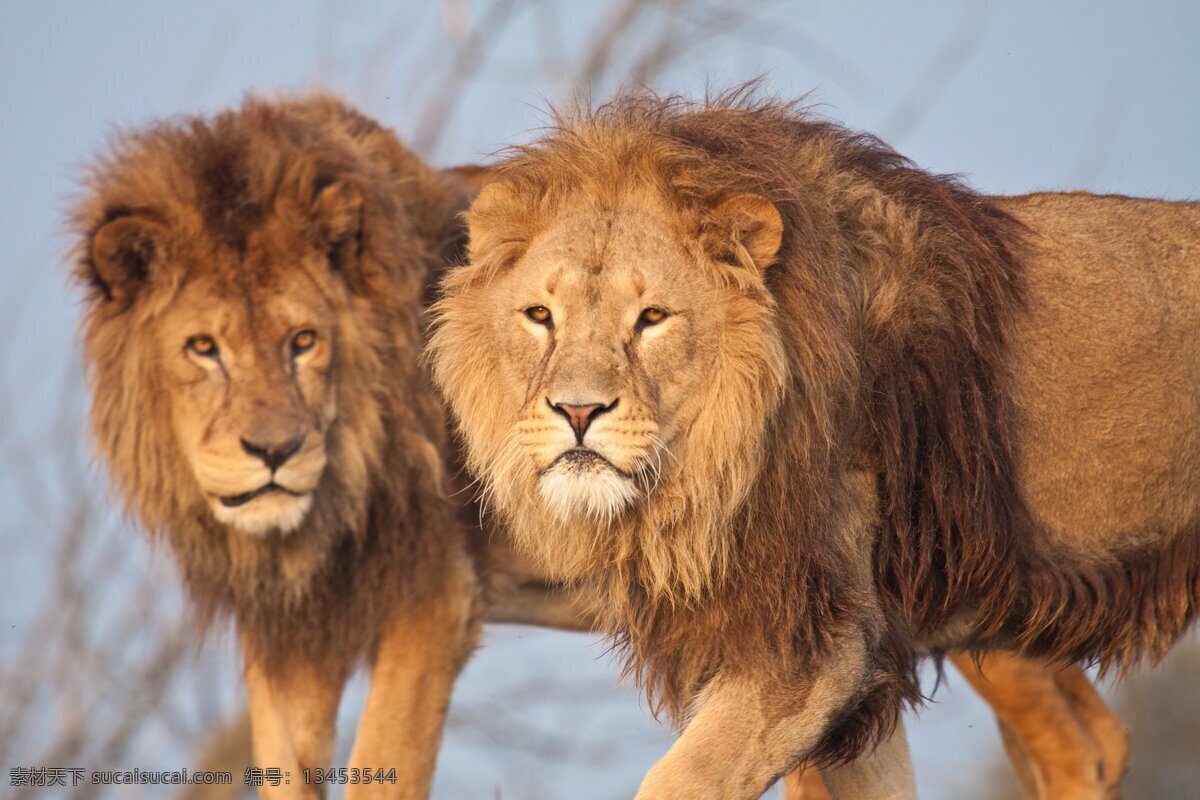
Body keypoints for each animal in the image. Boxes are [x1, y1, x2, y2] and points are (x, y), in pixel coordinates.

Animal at [72, 95, 482, 798]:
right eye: (204, 348)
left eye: (303, 341)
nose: (274, 452)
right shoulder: (290, 625)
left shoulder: (436, 594)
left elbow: (383, 765)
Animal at [430, 89, 1199, 799]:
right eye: (540, 316)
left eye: (652, 318)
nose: (578, 410)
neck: (703, 477)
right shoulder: (850, 661)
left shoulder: (816, 648)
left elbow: (680, 781)